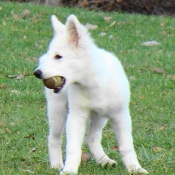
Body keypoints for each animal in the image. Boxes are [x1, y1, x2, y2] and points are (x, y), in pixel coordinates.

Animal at [33, 14, 148, 174]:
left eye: (58, 56)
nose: (37, 73)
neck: (93, 83)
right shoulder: (76, 116)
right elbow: (73, 148)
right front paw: (69, 170)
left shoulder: (121, 115)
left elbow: (126, 146)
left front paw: (135, 168)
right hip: (58, 110)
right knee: (54, 138)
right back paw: (56, 163)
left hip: (100, 117)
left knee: (91, 138)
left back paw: (104, 160)